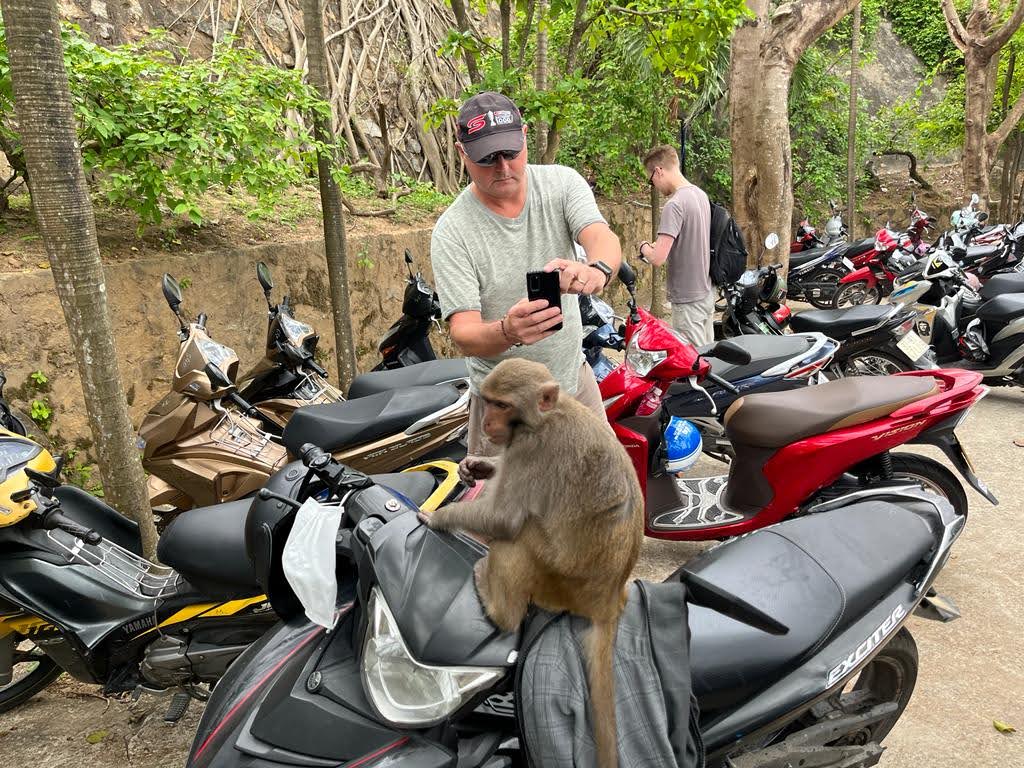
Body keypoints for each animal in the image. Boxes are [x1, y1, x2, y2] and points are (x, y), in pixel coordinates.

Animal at [425, 358, 644, 768]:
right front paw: (477, 466)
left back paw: (500, 609)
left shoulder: (531, 449)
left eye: (502, 405)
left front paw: (438, 517)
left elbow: (506, 519)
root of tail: (608, 601)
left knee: (520, 538)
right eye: (489, 401)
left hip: (558, 580)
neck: (543, 418)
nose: (486, 423)